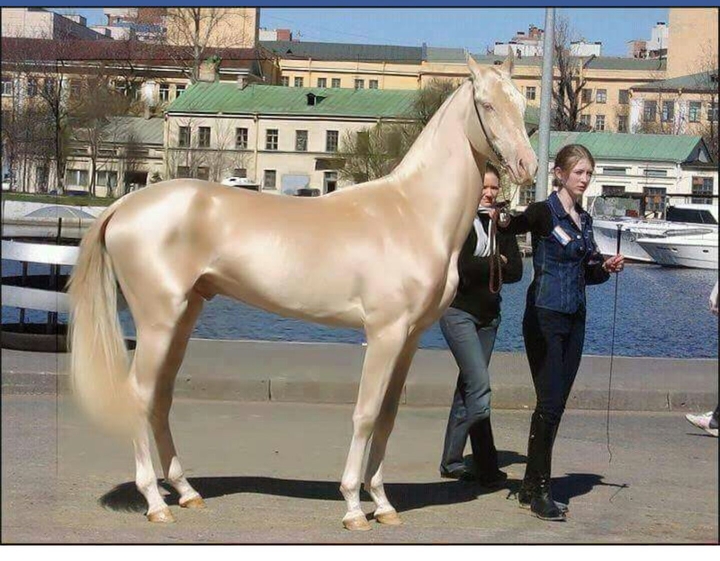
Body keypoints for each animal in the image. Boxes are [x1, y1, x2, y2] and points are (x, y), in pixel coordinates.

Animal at [67, 52, 537, 531]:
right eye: (487, 104)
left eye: (521, 103)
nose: (528, 166)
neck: (413, 212)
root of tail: (124, 205)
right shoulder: (384, 333)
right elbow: (366, 414)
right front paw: (353, 507)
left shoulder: (409, 339)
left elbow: (387, 417)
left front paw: (383, 503)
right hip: (158, 322)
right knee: (139, 397)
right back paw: (155, 502)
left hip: (182, 319)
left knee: (160, 398)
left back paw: (186, 492)